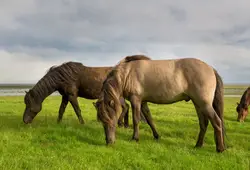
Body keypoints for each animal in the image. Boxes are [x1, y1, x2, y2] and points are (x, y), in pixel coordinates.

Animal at [94, 54, 226, 153]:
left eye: (111, 118)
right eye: (101, 120)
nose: (109, 142)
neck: (127, 74)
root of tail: (211, 68)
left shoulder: (135, 100)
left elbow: (136, 120)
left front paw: (135, 138)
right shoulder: (143, 102)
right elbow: (149, 119)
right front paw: (157, 136)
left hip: (204, 104)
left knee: (217, 122)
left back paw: (220, 148)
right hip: (198, 104)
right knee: (204, 124)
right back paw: (198, 145)